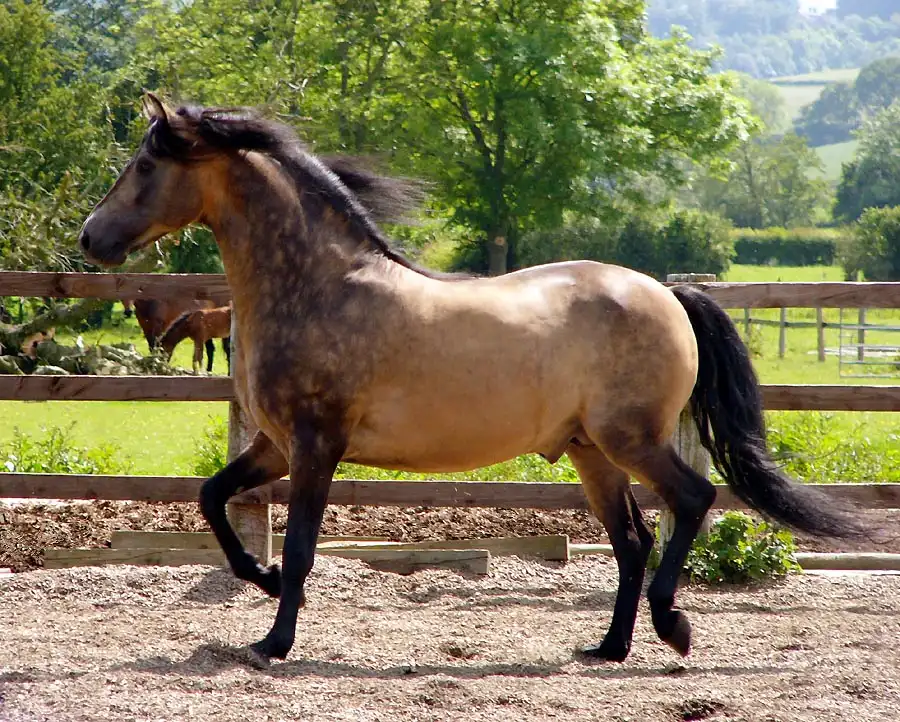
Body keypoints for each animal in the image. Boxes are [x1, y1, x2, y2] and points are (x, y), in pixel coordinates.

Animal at [79, 94, 864, 664]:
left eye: (144, 165)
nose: (91, 238)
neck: (318, 286)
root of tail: (668, 293)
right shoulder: (273, 445)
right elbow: (211, 498)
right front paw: (261, 582)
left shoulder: (315, 443)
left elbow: (300, 545)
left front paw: (273, 642)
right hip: (589, 450)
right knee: (632, 540)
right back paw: (606, 648)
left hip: (629, 438)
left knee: (693, 500)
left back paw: (672, 626)